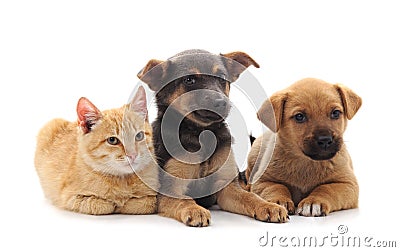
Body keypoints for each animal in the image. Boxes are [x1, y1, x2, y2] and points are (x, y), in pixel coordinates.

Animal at [34, 86, 159, 215]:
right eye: (112, 140)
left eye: (139, 136)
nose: (133, 155)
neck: (122, 180)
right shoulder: (70, 198)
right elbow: (103, 205)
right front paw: (116, 203)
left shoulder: (153, 197)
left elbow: (145, 203)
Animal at [138, 49, 288, 226]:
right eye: (189, 80)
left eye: (222, 77)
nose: (221, 103)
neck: (203, 135)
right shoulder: (171, 188)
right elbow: (185, 199)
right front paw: (195, 210)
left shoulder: (227, 188)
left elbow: (249, 197)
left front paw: (268, 206)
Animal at [247, 78, 362, 217]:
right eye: (299, 116)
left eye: (335, 113)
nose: (325, 140)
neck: (307, 162)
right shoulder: (263, 181)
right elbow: (276, 187)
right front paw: (280, 201)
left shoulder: (347, 184)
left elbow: (326, 188)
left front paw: (314, 201)